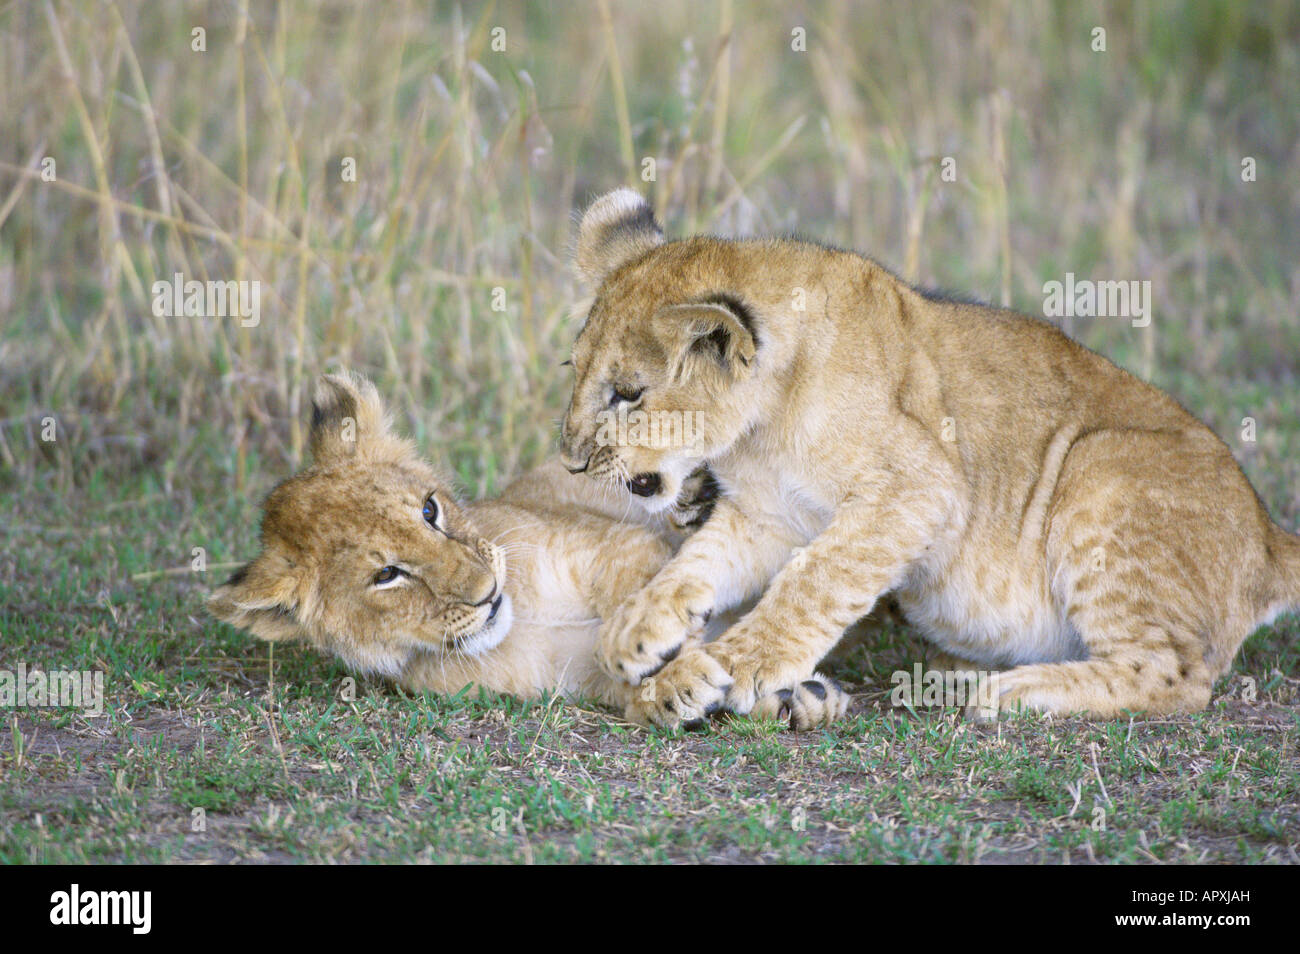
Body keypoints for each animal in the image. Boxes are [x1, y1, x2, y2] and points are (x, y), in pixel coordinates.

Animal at [207, 371, 848, 729]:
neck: (526, 615)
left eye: (429, 511)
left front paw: (684, 670)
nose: (487, 594)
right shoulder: (565, 676)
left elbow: (642, 616)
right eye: (387, 575)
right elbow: (625, 684)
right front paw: (684, 694)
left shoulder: (619, 545)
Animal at [556, 188, 1300, 725]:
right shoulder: (772, 514)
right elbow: (701, 560)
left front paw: (736, 666)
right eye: (575, 370)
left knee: (1176, 675)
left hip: (1101, 466)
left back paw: (1015, 691)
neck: (758, 432)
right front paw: (638, 631)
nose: (570, 463)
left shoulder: (919, 487)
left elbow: (812, 579)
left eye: (628, 394)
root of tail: (1269, 534)